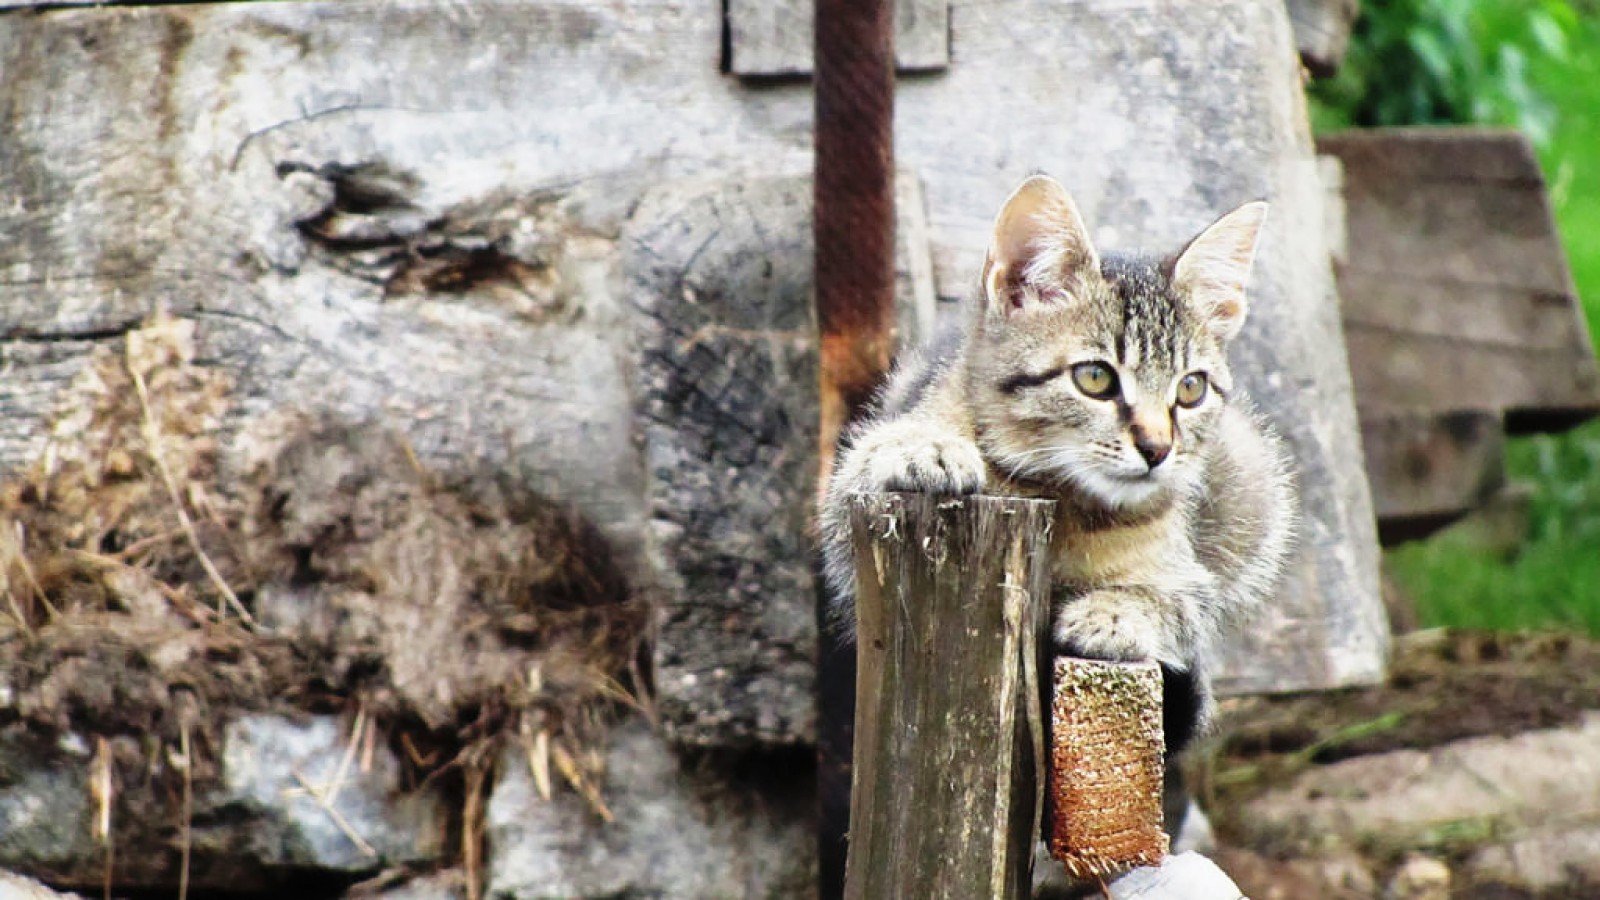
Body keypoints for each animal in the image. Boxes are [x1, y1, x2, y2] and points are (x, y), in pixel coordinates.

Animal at [819, 171, 1292, 746]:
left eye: (1191, 389)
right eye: (1094, 378)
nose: (1157, 449)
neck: (1060, 495)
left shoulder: (1192, 575)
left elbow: (1184, 605)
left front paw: (1114, 612)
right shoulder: (845, 526)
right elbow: (866, 465)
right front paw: (926, 447)